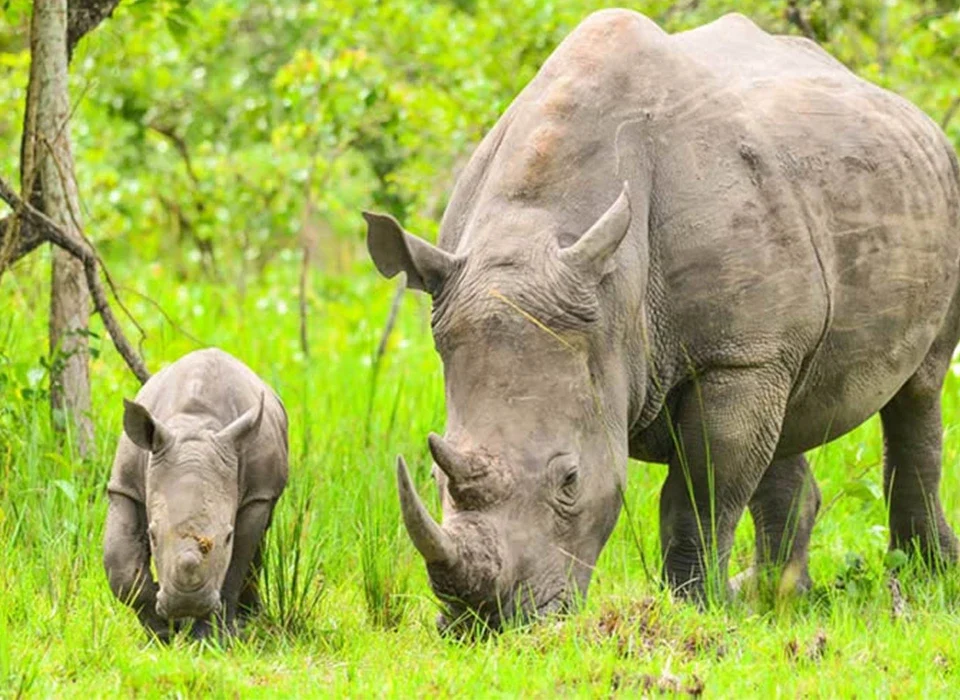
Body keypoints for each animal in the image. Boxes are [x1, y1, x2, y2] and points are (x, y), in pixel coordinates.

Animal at [103, 348, 288, 639]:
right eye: (152, 536)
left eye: (228, 536)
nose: (186, 602)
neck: (195, 425)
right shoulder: (125, 487)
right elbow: (119, 566)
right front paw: (162, 632)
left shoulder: (259, 494)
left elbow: (233, 567)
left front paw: (210, 638)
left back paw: (247, 620)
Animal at [364, 10, 960, 630]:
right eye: (437, 480)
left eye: (570, 481)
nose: (488, 623)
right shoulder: (746, 348)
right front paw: (721, 605)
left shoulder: (735, 357)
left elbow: (700, 492)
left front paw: (696, 608)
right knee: (785, 414)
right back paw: (775, 596)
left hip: (939, 181)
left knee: (919, 390)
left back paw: (924, 576)